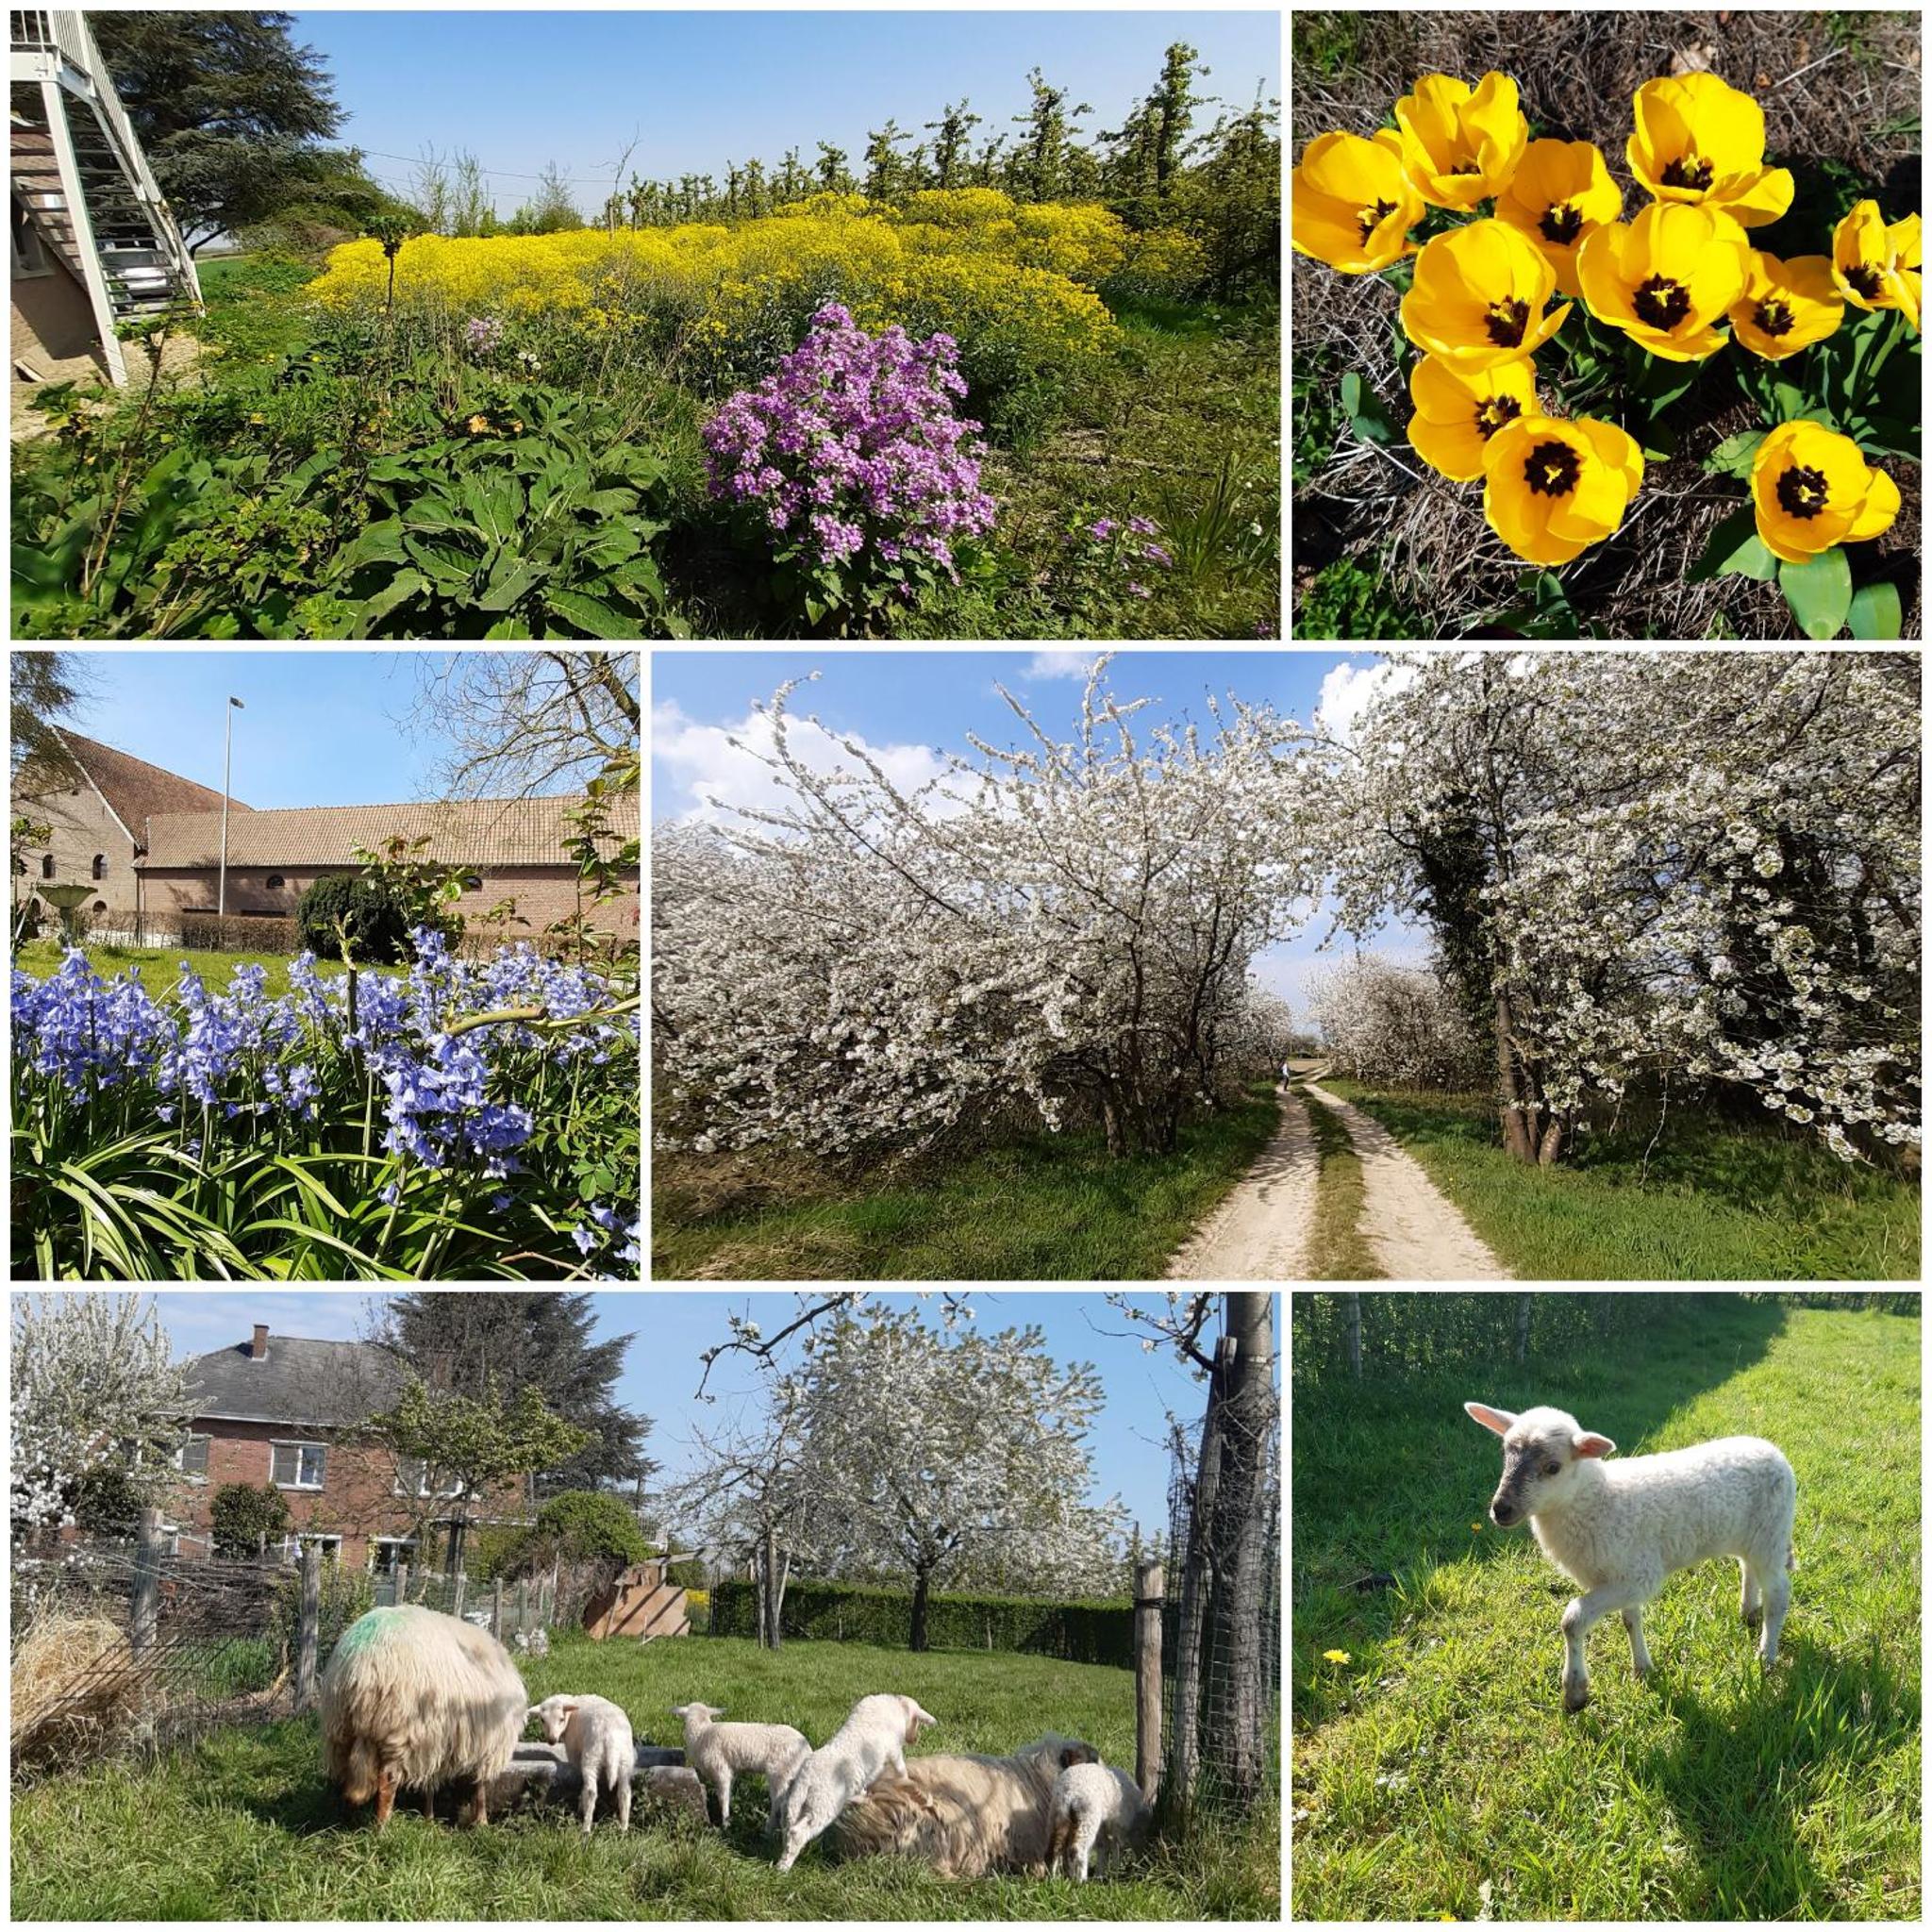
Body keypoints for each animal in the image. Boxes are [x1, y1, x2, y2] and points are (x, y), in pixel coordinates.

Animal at [533, 1692, 637, 1839]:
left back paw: (586, 1827)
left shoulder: (573, 1749)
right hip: (625, 1759)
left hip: (591, 1757)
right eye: (542, 1720)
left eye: (561, 1719)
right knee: (624, 1792)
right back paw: (623, 1828)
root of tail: (610, 1738)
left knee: (591, 1792)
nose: (552, 1740)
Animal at [672, 1700, 808, 1831]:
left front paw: (725, 1823)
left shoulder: (721, 1770)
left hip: (780, 1773)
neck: (702, 1732)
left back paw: (769, 1829)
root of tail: (807, 1750)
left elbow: (723, 1798)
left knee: (779, 1803)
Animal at [776, 1692, 942, 1870]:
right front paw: (907, 1781)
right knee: (798, 1832)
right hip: (823, 1804)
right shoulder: (893, 1750)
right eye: (917, 1722)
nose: (914, 1739)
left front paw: (864, 1793)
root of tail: (807, 1778)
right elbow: (900, 1769)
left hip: (795, 1803)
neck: (895, 1706)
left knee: (788, 1827)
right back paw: (784, 1867)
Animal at [1468, 1398, 1800, 1715]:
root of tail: (1773, 1451)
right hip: (1751, 1535)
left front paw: (1575, 1692)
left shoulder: (1638, 1575)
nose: (1501, 1509)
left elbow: (1572, 1620)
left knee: (1778, 1594)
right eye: (1505, 1454)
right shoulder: (1623, 1573)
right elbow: (1630, 1620)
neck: (1595, 1501)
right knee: (1748, 1567)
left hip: (1772, 1531)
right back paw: (1748, 1611)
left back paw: (1767, 1655)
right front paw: (1642, 1668)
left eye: (1553, 1467)